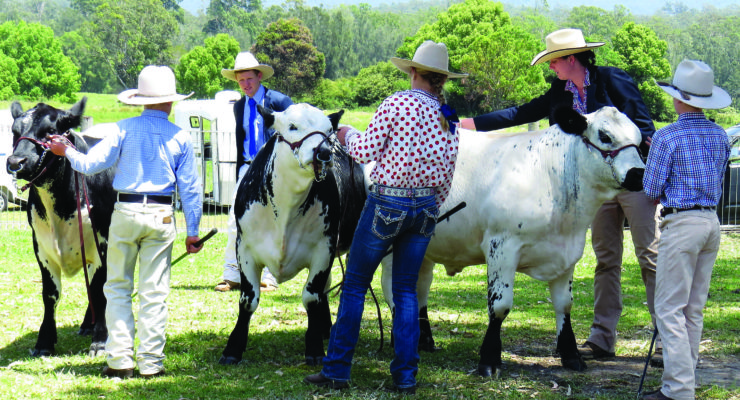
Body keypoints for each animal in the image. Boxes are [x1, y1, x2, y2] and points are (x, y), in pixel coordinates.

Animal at [6, 98, 116, 357]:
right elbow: (50, 294)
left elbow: (100, 290)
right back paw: (87, 324)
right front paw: (44, 341)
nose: (15, 162)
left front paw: (100, 341)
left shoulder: (102, 244)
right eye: (15, 131)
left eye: (50, 131)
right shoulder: (41, 246)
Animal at [219, 103, 367, 366]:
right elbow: (248, 299)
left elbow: (311, 296)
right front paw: (233, 348)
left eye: (328, 130)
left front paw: (315, 348)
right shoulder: (244, 248)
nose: (324, 152)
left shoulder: (324, 249)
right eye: (292, 126)